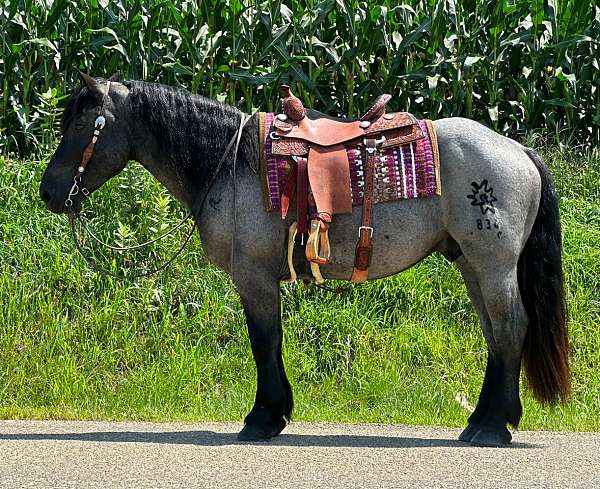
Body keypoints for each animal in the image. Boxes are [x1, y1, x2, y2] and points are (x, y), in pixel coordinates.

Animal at [39, 73, 568, 446]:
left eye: (81, 125)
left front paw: (263, 418)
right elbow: (270, 342)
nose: (48, 192)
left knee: (510, 327)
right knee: (496, 335)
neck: (229, 163)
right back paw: (483, 421)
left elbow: (263, 341)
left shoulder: (253, 277)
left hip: (492, 265)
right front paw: (275, 415)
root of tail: (516, 148)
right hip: (473, 265)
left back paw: (493, 428)